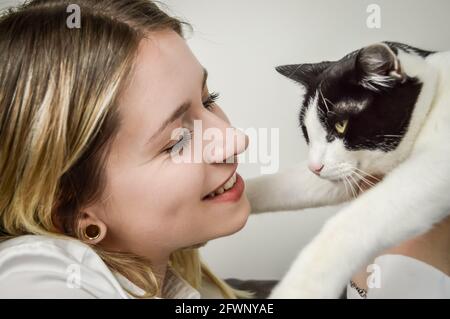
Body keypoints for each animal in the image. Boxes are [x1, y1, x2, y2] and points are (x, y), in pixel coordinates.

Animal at [246, 41, 450, 298]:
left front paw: (301, 287)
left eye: (340, 125)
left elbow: (352, 222)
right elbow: (286, 185)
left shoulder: (438, 162)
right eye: (306, 131)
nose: (314, 167)